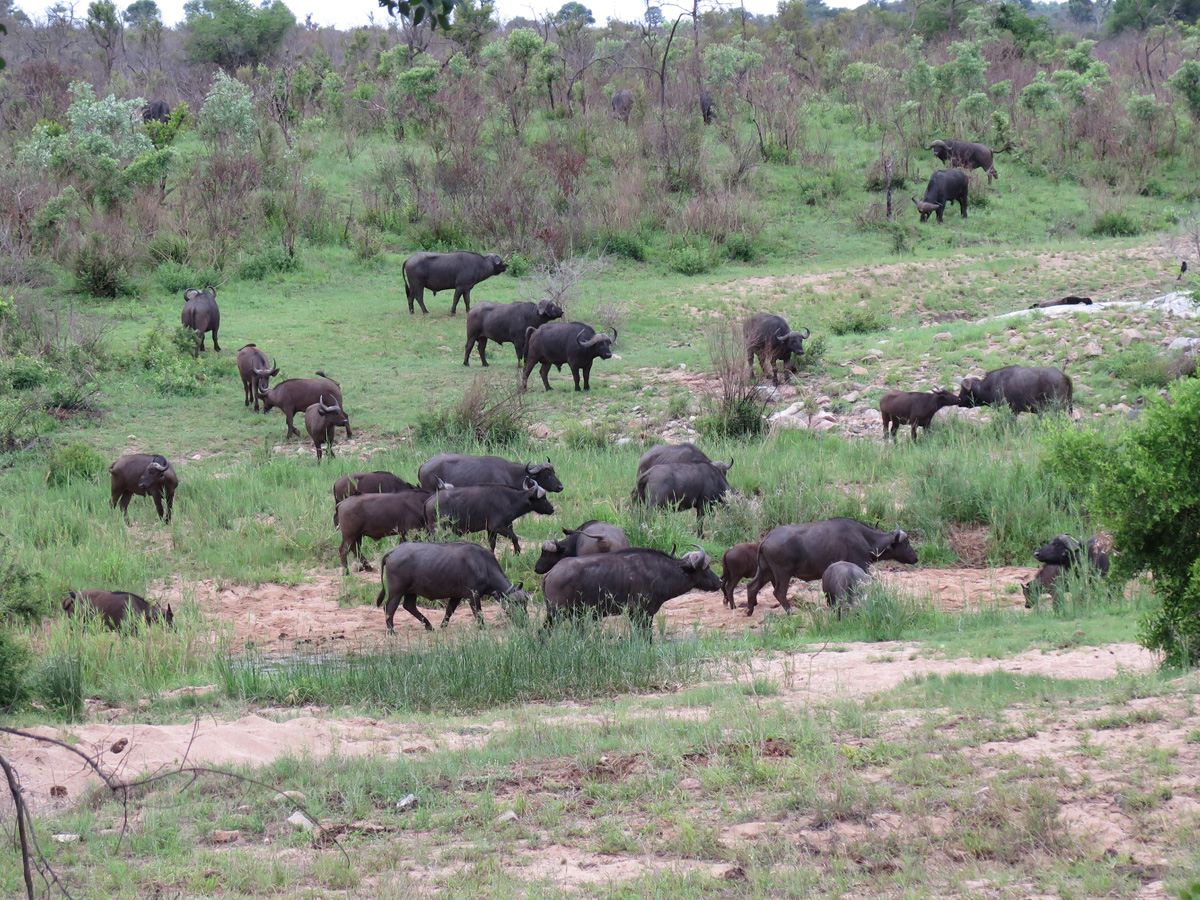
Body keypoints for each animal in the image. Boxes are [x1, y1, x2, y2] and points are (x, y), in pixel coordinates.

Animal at [375, 541, 529, 633]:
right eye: (515, 603)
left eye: (525, 603)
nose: (524, 620)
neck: (483, 565)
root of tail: (394, 551)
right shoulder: (473, 595)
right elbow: (478, 613)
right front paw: (482, 627)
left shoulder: (456, 596)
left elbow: (449, 611)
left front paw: (443, 626)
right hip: (397, 590)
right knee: (389, 607)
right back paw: (391, 631)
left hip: (411, 591)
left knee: (409, 605)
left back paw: (429, 626)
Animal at [424, 478, 555, 553]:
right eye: (543, 498)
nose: (552, 509)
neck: (510, 499)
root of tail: (430, 499)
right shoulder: (498, 527)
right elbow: (514, 537)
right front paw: (517, 552)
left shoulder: (492, 530)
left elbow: (492, 545)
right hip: (438, 529)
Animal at [542, 546, 721, 637]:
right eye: (707, 568)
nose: (719, 582)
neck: (661, 572)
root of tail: (551, 572)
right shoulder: (641, 613)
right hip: (556, 613)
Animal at [745, 518, 918, 616]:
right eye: (906, 543)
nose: (915, 558)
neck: (865, 538)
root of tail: (767, 538)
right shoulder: (862, 566)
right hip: (782, 573)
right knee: (779, 592)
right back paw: (790, 612)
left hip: (766, 572)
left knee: (752, 586)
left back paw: (750, 610)